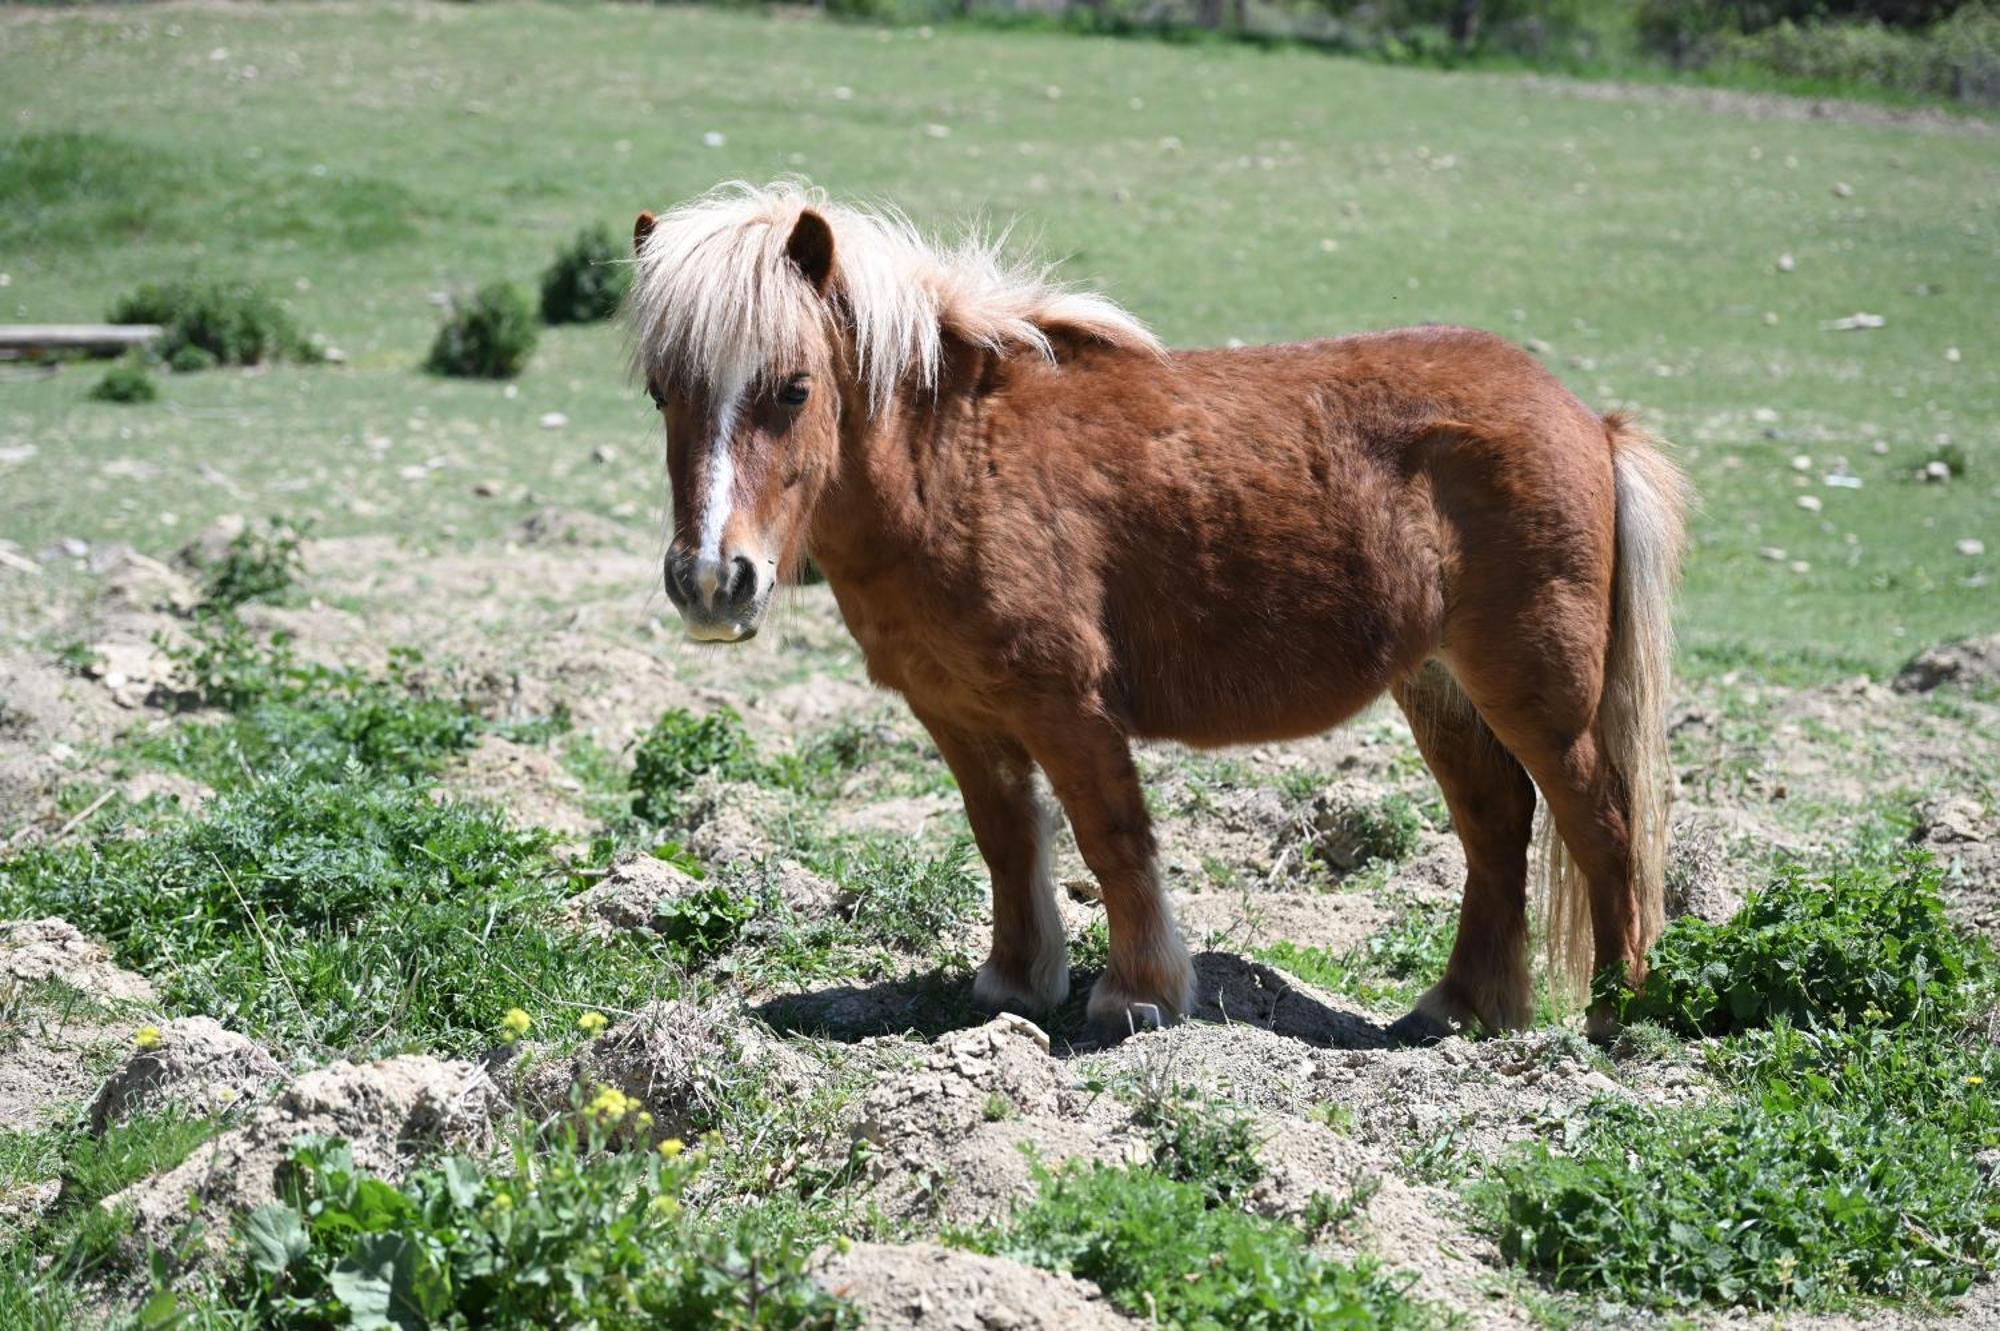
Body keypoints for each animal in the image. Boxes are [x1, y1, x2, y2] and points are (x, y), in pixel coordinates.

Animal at [624, 181, 1688, 1039]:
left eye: (793, 389)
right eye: (662, 393)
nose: (713, 581)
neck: (958, 467)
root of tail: (1587, 420)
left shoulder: (1068, 706)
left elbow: (1112, 838)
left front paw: (1136, 994)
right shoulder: (958, 713)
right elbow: (1007, 840)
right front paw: (1015, 984)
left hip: (1536, 689)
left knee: (1600, 824)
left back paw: (1615, 1014)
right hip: (1439, 685)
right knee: (1496, 822)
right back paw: (1462, 1007)